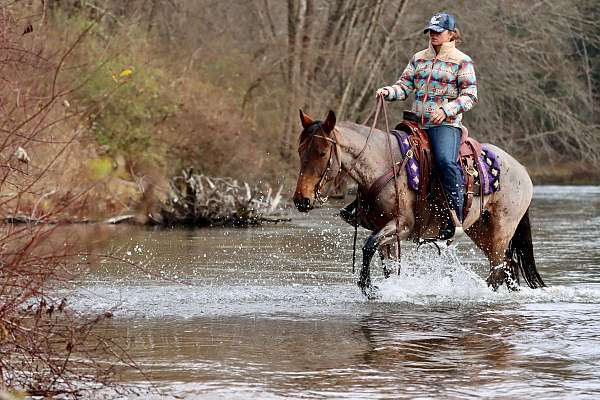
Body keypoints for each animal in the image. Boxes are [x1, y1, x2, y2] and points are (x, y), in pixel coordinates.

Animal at [292, 109, 548, 296]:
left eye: (322, 152)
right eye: (300, 150)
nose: (301, 200)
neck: (384, 163)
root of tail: (521, 169)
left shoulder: (402, 225)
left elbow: (368, 246)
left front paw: (368, 287)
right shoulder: (384, 228)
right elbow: (387, 264)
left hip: (502, 229)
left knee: (498, 269)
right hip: (480, 229)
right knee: (508, 266)